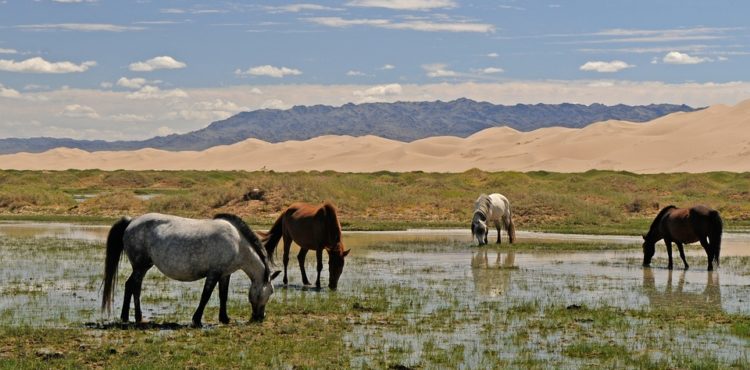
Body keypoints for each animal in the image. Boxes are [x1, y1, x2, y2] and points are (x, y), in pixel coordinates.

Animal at [103, 212, 282, 326]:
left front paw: (224, 319)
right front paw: (196, 320)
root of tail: (131, 221)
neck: (237, 242)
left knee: (129, 285)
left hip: (141, 267)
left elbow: (223, 296)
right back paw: (138, 318)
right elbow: (206, 295)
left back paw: (125, 317)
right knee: (135, 287)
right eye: (271, 292)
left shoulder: (225, 274)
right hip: (141, 266)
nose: (260, 317)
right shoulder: (214, 273)